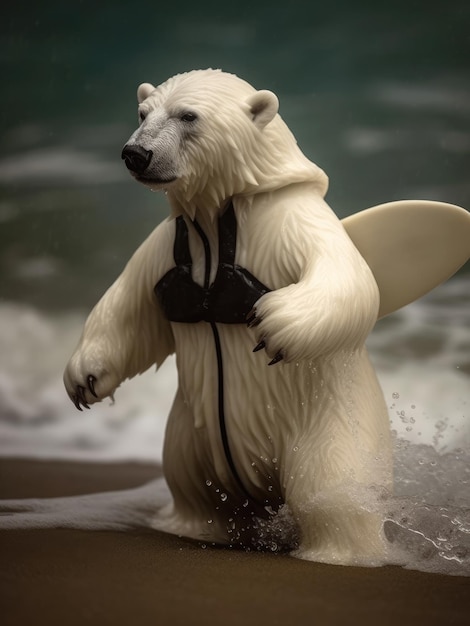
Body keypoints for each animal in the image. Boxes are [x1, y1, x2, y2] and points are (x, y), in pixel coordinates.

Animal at [63, 69, 392, 564]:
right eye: (142, 113)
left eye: (188, 115)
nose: (135, 153)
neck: (216, 215)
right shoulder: (169, 243)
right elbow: (130, 303)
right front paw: (85, 378)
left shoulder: (286, 220)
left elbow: (350, 279)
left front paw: (275, 324)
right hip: (190, 438)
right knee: (191, 485)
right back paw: (191, 528)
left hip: (328, 424)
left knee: (332, 488)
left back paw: (337, 552)